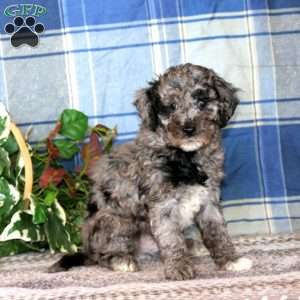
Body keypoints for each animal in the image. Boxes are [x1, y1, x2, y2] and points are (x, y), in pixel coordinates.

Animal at [50, 62, 252, 278]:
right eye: (170, 107)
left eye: (202, 101)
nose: (189, 129)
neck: (185, 156)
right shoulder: (163, 205)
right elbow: (171, 239)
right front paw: (179, 267)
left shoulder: (209, 200)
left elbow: (218, 233)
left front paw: (230, 260)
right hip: (116, 221)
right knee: (102, 255)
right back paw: (121, 260)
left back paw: (192, 245)